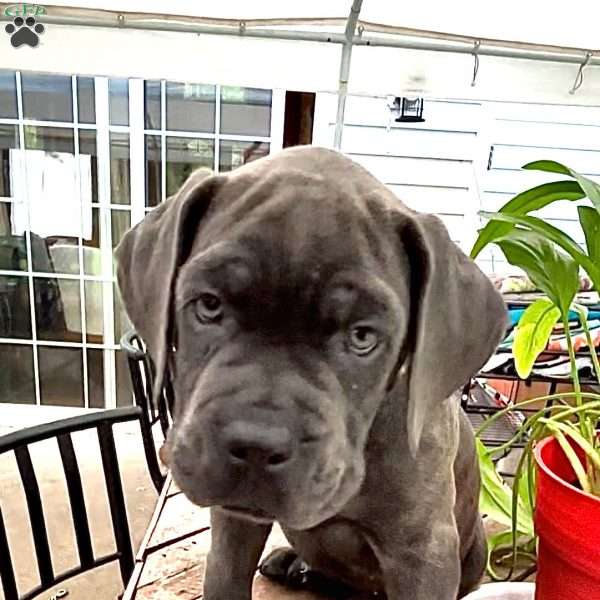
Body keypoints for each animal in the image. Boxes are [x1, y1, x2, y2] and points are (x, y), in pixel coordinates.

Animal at [116, 146, 506, 600]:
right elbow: (224, 577)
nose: (257, 445)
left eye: (362, 336)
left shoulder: (423, 549)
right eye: (209, 305)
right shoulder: (234, 524)